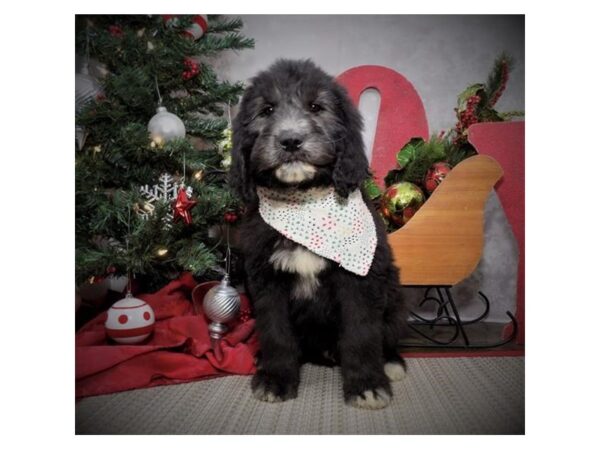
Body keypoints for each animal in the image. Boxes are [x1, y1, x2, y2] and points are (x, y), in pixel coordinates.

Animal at [230, 58, 408, 410]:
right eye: (267, 110)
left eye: (316, 107)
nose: (290, 141)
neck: (304, 202)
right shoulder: (266, 281)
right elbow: (276, 334)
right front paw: (275, 378)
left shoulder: (359, 283)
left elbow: (361, 335)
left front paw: (366, 385)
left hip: (394, 298)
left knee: (386, 337)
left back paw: (392, 363)